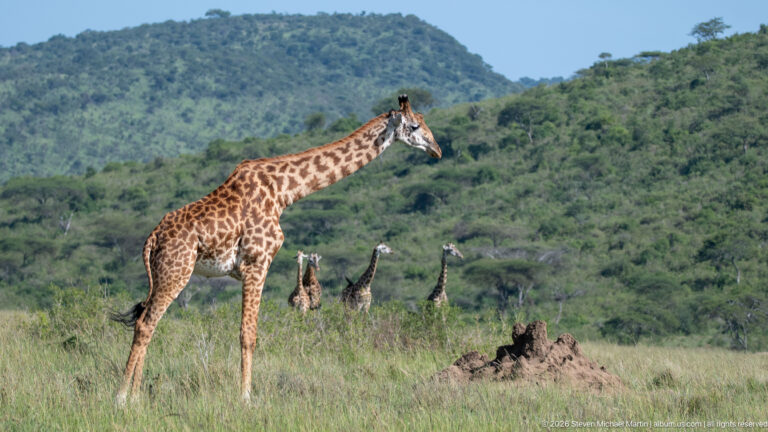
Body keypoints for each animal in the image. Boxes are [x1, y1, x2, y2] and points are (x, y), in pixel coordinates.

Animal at [110, 95, 440, 405]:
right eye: (414, 126)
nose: (437, 149)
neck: (284, 191)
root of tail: (152, 238)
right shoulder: (257, 262)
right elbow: (248, 334)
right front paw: (246, 398)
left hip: (166, 273)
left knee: (147, 321)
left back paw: (136, 394)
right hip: (175, 271)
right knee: (145, 324)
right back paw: (122, 397)